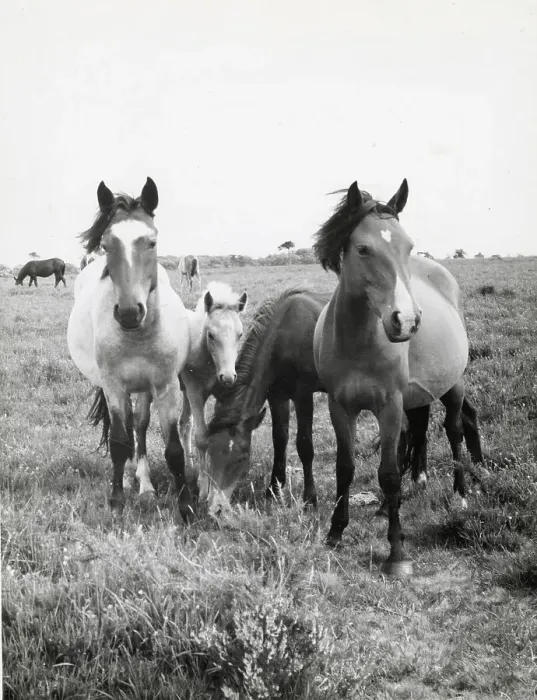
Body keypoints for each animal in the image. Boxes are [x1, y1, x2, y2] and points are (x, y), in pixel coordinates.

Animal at [66, 177, 194, 522]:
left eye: (151, 242)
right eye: (107, 245)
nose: (128, 313)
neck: (138, 336)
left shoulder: (165, 387)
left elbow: (173, 448)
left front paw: (186, 508)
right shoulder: (114, 386)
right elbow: (119, 444)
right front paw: (116, 502)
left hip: (146, 388)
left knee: (140, 425)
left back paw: (146, 485)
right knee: (121, 432)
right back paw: (126, 479)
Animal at [205, 288, 483, 516]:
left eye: (239, 457)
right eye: (209, 454)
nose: (215, 507)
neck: (283, 333)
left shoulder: (303, 395)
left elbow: (304, 445)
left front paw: (310, 499)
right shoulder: (277, 396)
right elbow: (279, 439)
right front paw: (274, 489)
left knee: (450, 425)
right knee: (440, 422)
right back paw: (467, 474)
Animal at [312, 179, 472, 576]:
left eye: (407, 245)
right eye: (363, 248)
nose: (407, 321)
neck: (358, 340)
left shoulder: (389, 404)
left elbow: (388, 474)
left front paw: (397, 553)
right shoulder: (340, 406)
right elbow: (346, 467)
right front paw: (335, 533)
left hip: (453, 386)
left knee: (454, 432)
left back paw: (460, 497)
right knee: (411, 435)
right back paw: (390, 504)